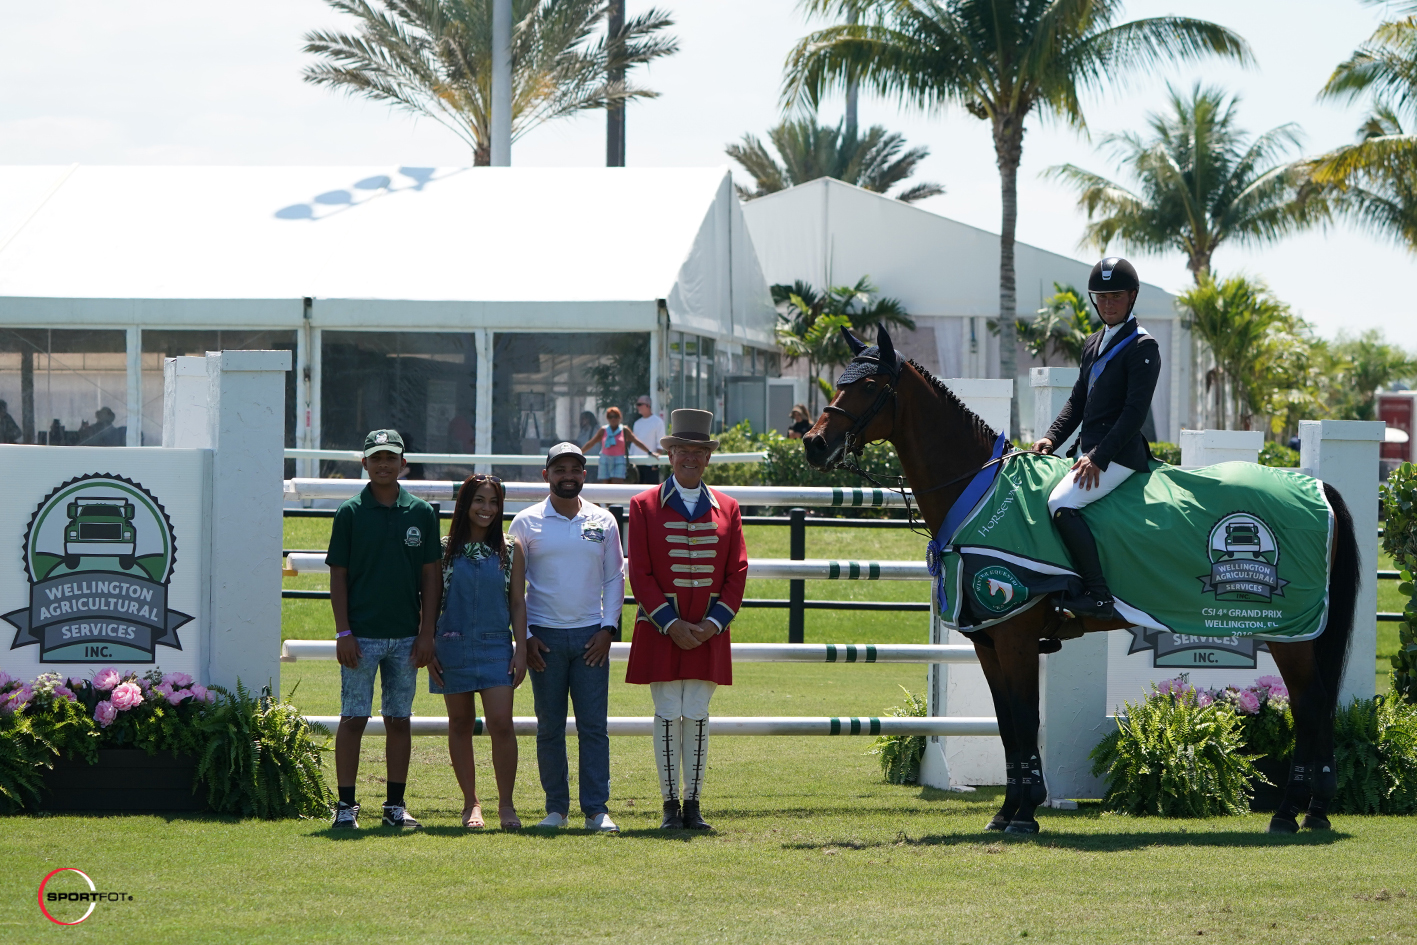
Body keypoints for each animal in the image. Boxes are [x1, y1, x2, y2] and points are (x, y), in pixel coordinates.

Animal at [804, 325, 1354, 833]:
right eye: (840, 380)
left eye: (869, 384)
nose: (813, 444)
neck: (979, 492)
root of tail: (1316, 485)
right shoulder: (989, 641)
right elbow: (1006, 725)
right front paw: (1006, 812)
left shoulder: (1017, 637)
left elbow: (1025, 720)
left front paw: (1026, 813)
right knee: (1316, 706)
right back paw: (1313, 812)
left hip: (1291, 634)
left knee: (1309, 706)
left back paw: (1289, 813)